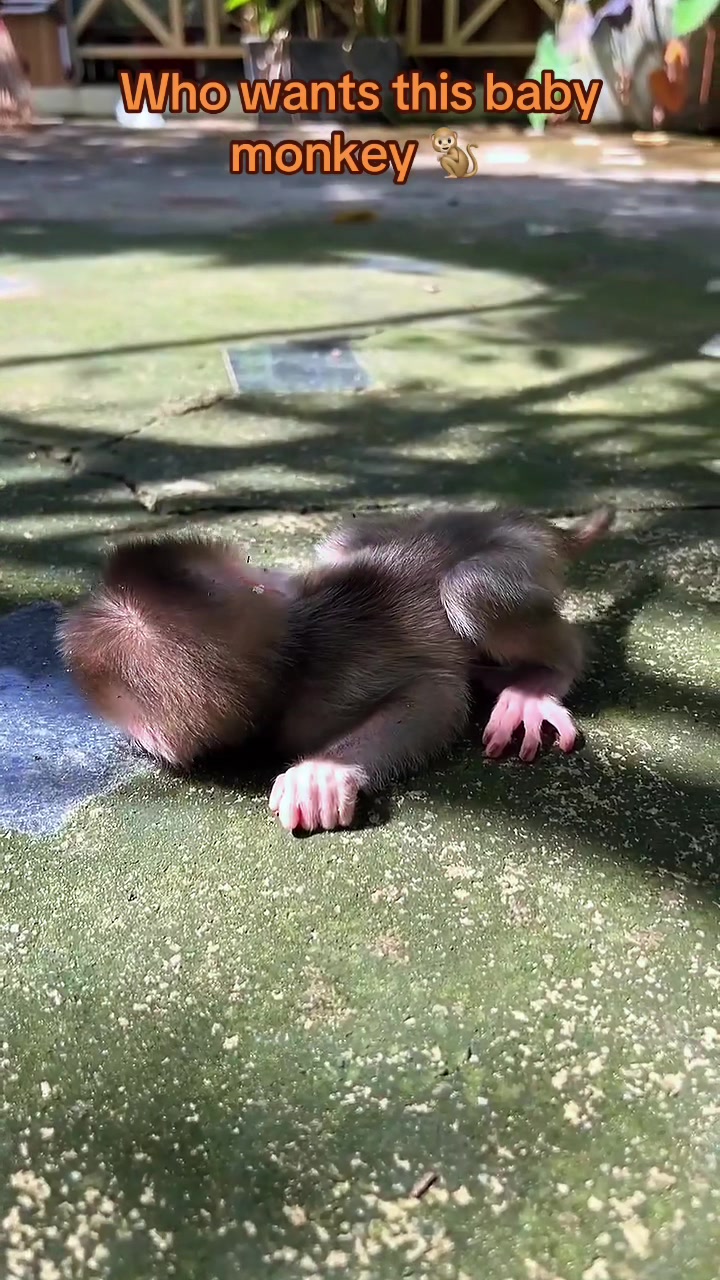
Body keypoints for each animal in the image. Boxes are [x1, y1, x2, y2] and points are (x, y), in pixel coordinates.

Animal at [58, 506, 613, 834]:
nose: (271, 572)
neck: (297, 641)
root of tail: (533, 525)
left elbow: (437, 693)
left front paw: (323, 771)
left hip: (519, 552)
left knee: (467, 588)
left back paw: (536, 683)